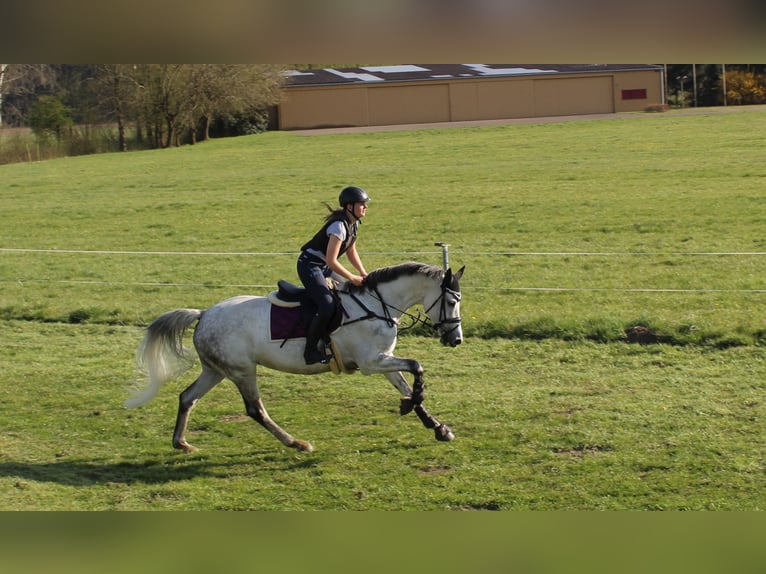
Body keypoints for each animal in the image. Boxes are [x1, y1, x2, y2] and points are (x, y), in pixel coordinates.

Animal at [126, 262, 464, 454]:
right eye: (450, 301)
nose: (456, 339)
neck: (375, 305)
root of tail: (204, 313)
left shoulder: (384, 359)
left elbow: (407, 383)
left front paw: (436, 426)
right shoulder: (372, 363)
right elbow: (417, 368)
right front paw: (413, 407)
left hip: (216, 370)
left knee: (187, 397)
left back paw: (180, 442)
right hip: (242, 371)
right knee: (255, 410)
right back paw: (296, 443)